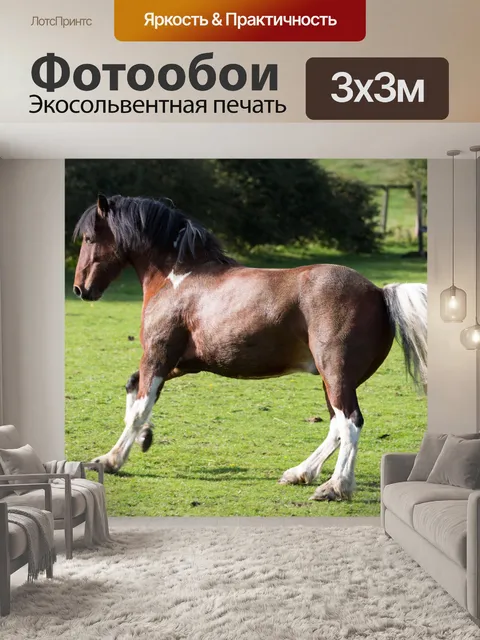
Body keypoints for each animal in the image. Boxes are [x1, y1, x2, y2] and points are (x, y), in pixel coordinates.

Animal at [72, 194, 427, 502]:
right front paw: (145, 437)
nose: (80, 289)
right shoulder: (181, 363)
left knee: (350, 423)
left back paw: (334, 487)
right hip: (333, 380)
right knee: (336, 426)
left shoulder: (158, 356)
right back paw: (300, 473)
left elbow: (139, 408)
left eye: (89, 238)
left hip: (336, 374)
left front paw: (111, 459)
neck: (177, 277)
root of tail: (378, 292)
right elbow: (134, 390)